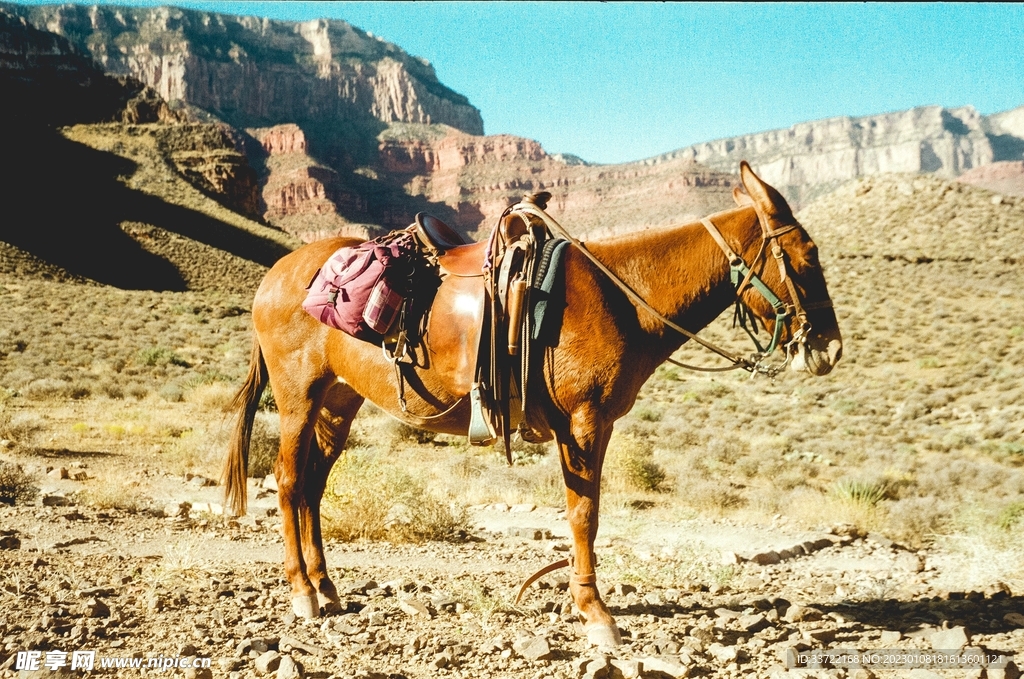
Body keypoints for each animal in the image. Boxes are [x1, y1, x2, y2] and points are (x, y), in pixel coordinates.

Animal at [223, 161, 843, 647]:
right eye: (807, 256)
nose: (831, 348)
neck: (622, 297)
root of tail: (275, 275)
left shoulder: (591, 426)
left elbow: (583, 514)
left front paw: (581, 603)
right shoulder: (585, 423)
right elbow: (584, 514)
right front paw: (596, 615)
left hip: (338, 401)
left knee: (312, 485)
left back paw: (328, 587)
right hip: (299, 396)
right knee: (287, 481)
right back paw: (303, 593)